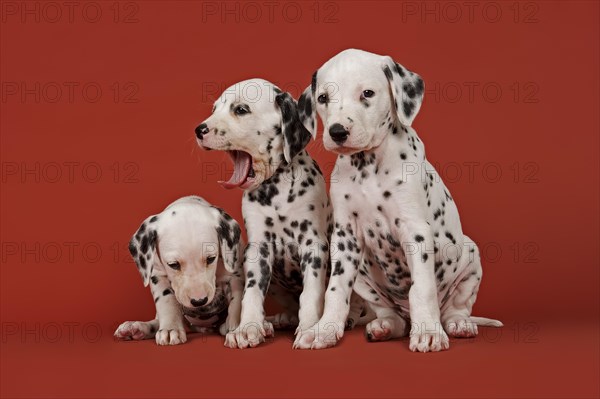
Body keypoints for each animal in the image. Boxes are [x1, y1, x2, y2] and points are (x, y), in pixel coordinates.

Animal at [112, 196, 244, 346]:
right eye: (173, 265)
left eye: (211, 259)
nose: (199, 301)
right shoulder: (158, 276)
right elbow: (167, 302)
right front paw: (170, 328)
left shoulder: (235, 277)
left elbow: (236, 301)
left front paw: (234, 328)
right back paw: (136, 328)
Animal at [195, 79, 364, 348]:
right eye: (214, 108)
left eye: (240, 109)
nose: (199, 130)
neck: (275, 192)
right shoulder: (258, 249)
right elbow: (252, 293)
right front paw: (248, 328)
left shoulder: (313, 245)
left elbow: (311, 293)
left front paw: (309, 327)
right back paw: (278, 320)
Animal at [296, 49, 502, 354]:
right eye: (322, 98)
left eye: (367, 93)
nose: (337, 132)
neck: (367, 166)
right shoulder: (345, 238)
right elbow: (335, 290)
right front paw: (324, 329)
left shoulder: (415, 230)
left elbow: (422, 288)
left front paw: (428, 332)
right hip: (365, 276)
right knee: (392, 317)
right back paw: (384, 327)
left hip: (470, 258)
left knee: (455, 309)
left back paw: (456, 324)